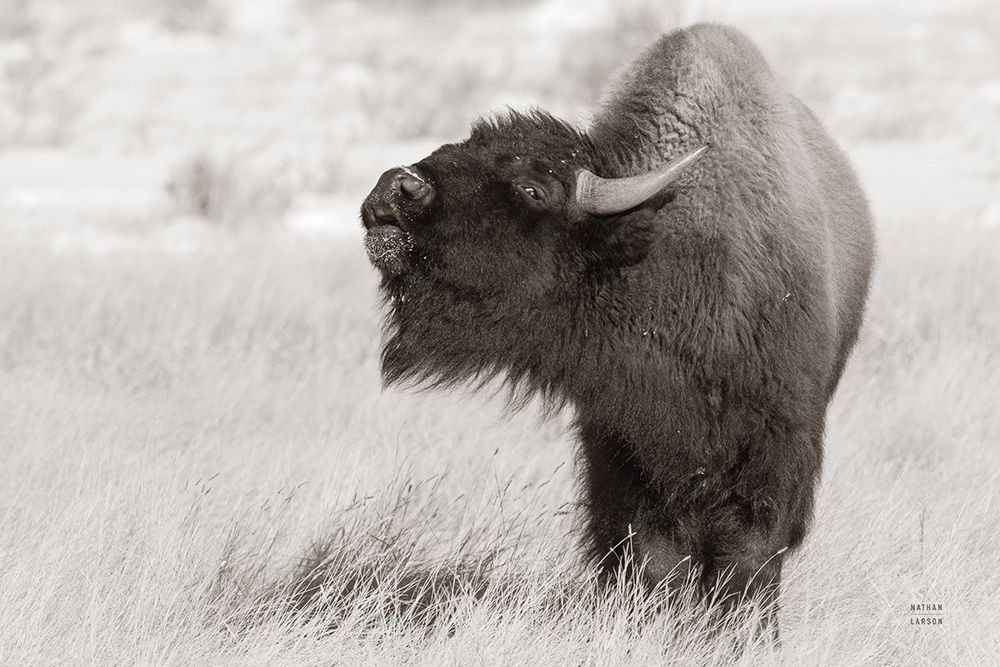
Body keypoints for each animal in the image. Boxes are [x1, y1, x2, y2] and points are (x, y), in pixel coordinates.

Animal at [360, 23, 875, 628]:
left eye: (533, 189)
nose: (396, 188)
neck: (654, 251)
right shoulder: (618, 448)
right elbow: (652, 557)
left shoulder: (773, 453)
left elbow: (747, 558)